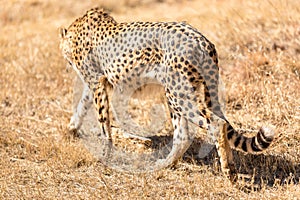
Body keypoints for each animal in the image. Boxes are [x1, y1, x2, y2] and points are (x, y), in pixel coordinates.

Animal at [59, 7, 276, 181]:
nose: (66, 63)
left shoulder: (97, 83)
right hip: (181, 93)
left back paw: (228, 170)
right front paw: (71, 128)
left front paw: (106, 154)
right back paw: (166, 164)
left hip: (177, 93)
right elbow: (82, 105)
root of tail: (203, 40)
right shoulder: (98, 84)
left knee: (216, 123)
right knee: (184, 134)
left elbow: (104, 122)